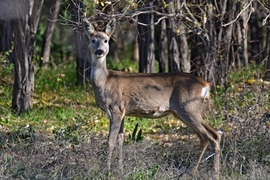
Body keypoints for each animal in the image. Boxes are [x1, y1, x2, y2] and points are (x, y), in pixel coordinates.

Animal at [83, 17, 221, 179]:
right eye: (92, 39)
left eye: (106, 40)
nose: (99, 51)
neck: (103, 82)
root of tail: (206, 84)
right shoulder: (123, 111)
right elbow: (120, 141)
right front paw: (120, 170)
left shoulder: (115, 108)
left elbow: (110, 141)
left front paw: (107, 171)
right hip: (184, 111)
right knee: (209, 136)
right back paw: (193, 173)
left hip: (188, 108)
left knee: (211, 137)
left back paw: (214, 174)